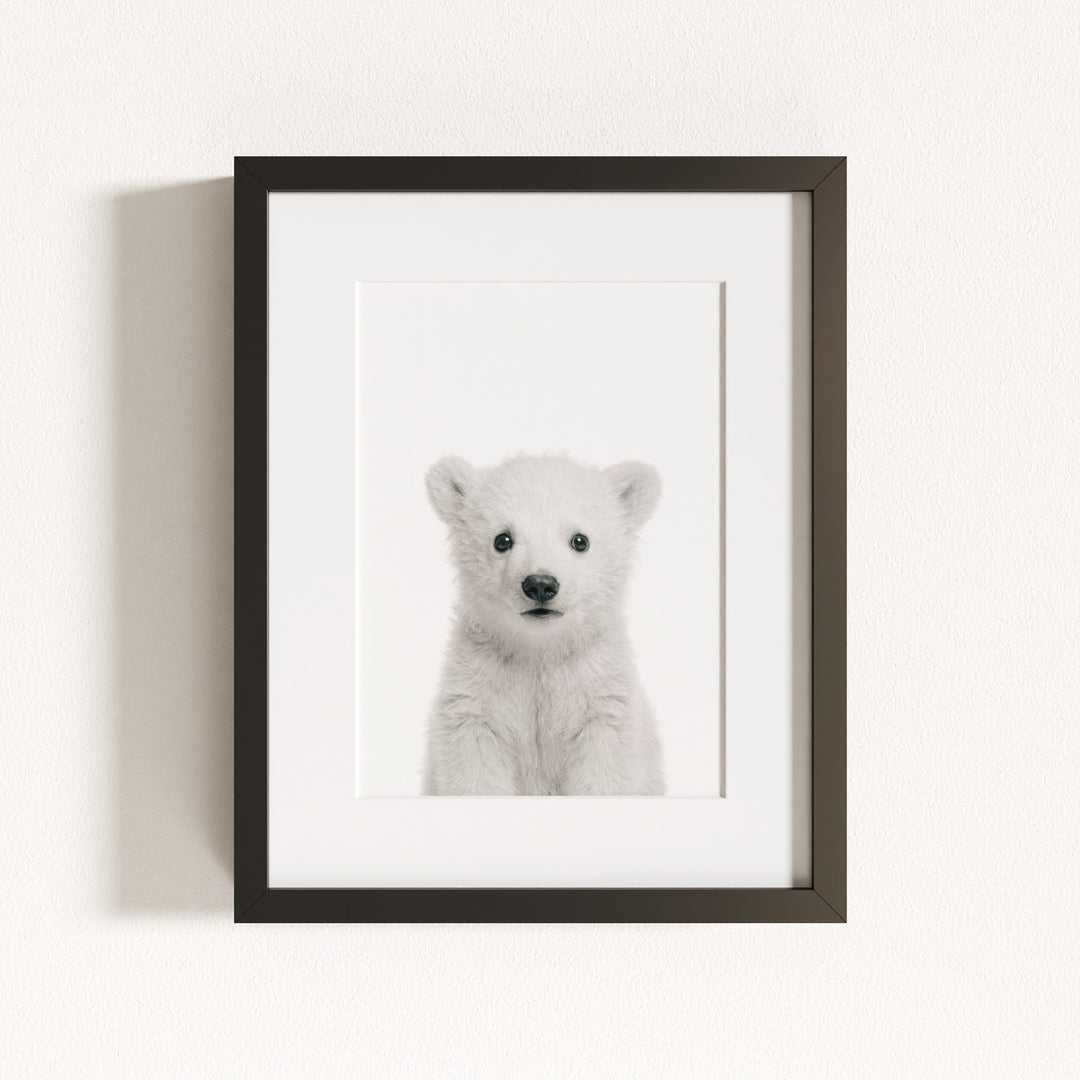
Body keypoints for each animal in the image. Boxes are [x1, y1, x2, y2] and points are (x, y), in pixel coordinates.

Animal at [422, 453, 664, 796]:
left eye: (580, 540)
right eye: (502, 539)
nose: (540, 584)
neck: (540, 651)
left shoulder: (600, 697)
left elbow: (604, 771)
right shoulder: (476, 694)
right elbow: (475, 768)